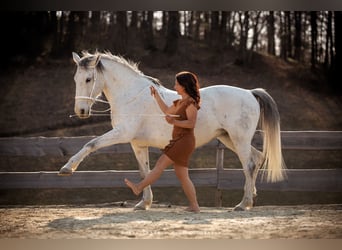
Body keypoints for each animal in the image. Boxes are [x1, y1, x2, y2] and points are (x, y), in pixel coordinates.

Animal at [59, 50, 286, 211]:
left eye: (89, 79)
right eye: (76, 79)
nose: (80, 111)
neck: (131, 95)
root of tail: (250, 92)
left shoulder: (122, 134)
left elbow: (90, 144)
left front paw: (67, 168)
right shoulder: (137, 144)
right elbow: (144, 171)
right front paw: (144, 203)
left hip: (239, 139)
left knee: (249, 164)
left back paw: (242, 204)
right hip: (229, 138)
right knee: (257, 158)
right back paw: (251, 198)